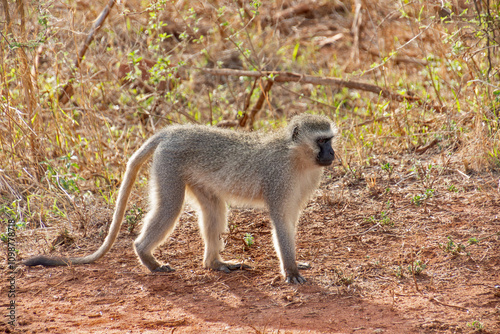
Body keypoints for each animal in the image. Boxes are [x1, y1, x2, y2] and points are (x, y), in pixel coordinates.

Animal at [22, 113, 336, 284]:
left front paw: (295, 263)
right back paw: (146, 257)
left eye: (330, 139)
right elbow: (281, 220)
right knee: (169, 207)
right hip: (169, 165)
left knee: (214, 209)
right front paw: (291, 270)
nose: (332, 154)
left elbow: (291, 220)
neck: (296, 156)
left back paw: (215, 263)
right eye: (322, 141)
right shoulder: (278, 179)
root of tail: (172, 131)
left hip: (195, 177)